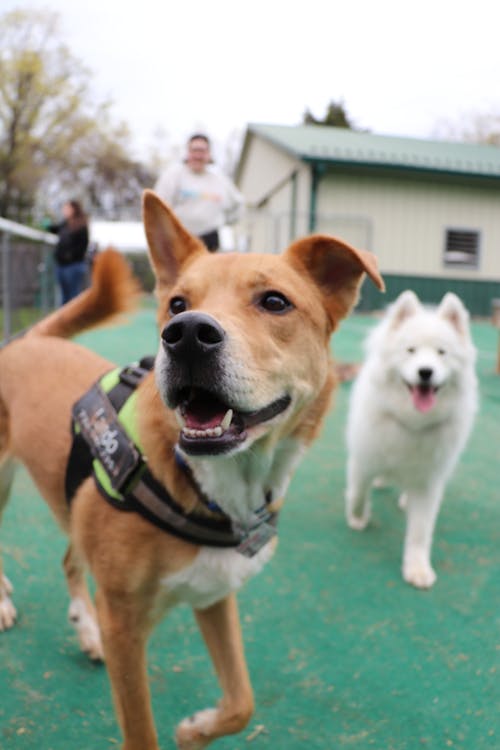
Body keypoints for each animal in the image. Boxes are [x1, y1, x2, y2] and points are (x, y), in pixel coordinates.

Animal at [0, 191, 382, 748]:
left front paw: (197, 730)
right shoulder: (125, 625)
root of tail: (28, 339)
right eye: (177, 304)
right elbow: (141, 731)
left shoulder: (214, 595)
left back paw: (84, 628)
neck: (220, 485)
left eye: (275, 302)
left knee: (71, 559)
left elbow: (242, 702)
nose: (184, 335)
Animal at [344, 290, 476, 592]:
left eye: (441, 353)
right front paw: (358, 518)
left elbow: (420, 531)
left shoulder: (428, 482)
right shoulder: (363, 459)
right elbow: (358, 493)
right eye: (411, 351)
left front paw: (417, 568)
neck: (412, 422)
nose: (425, 372)